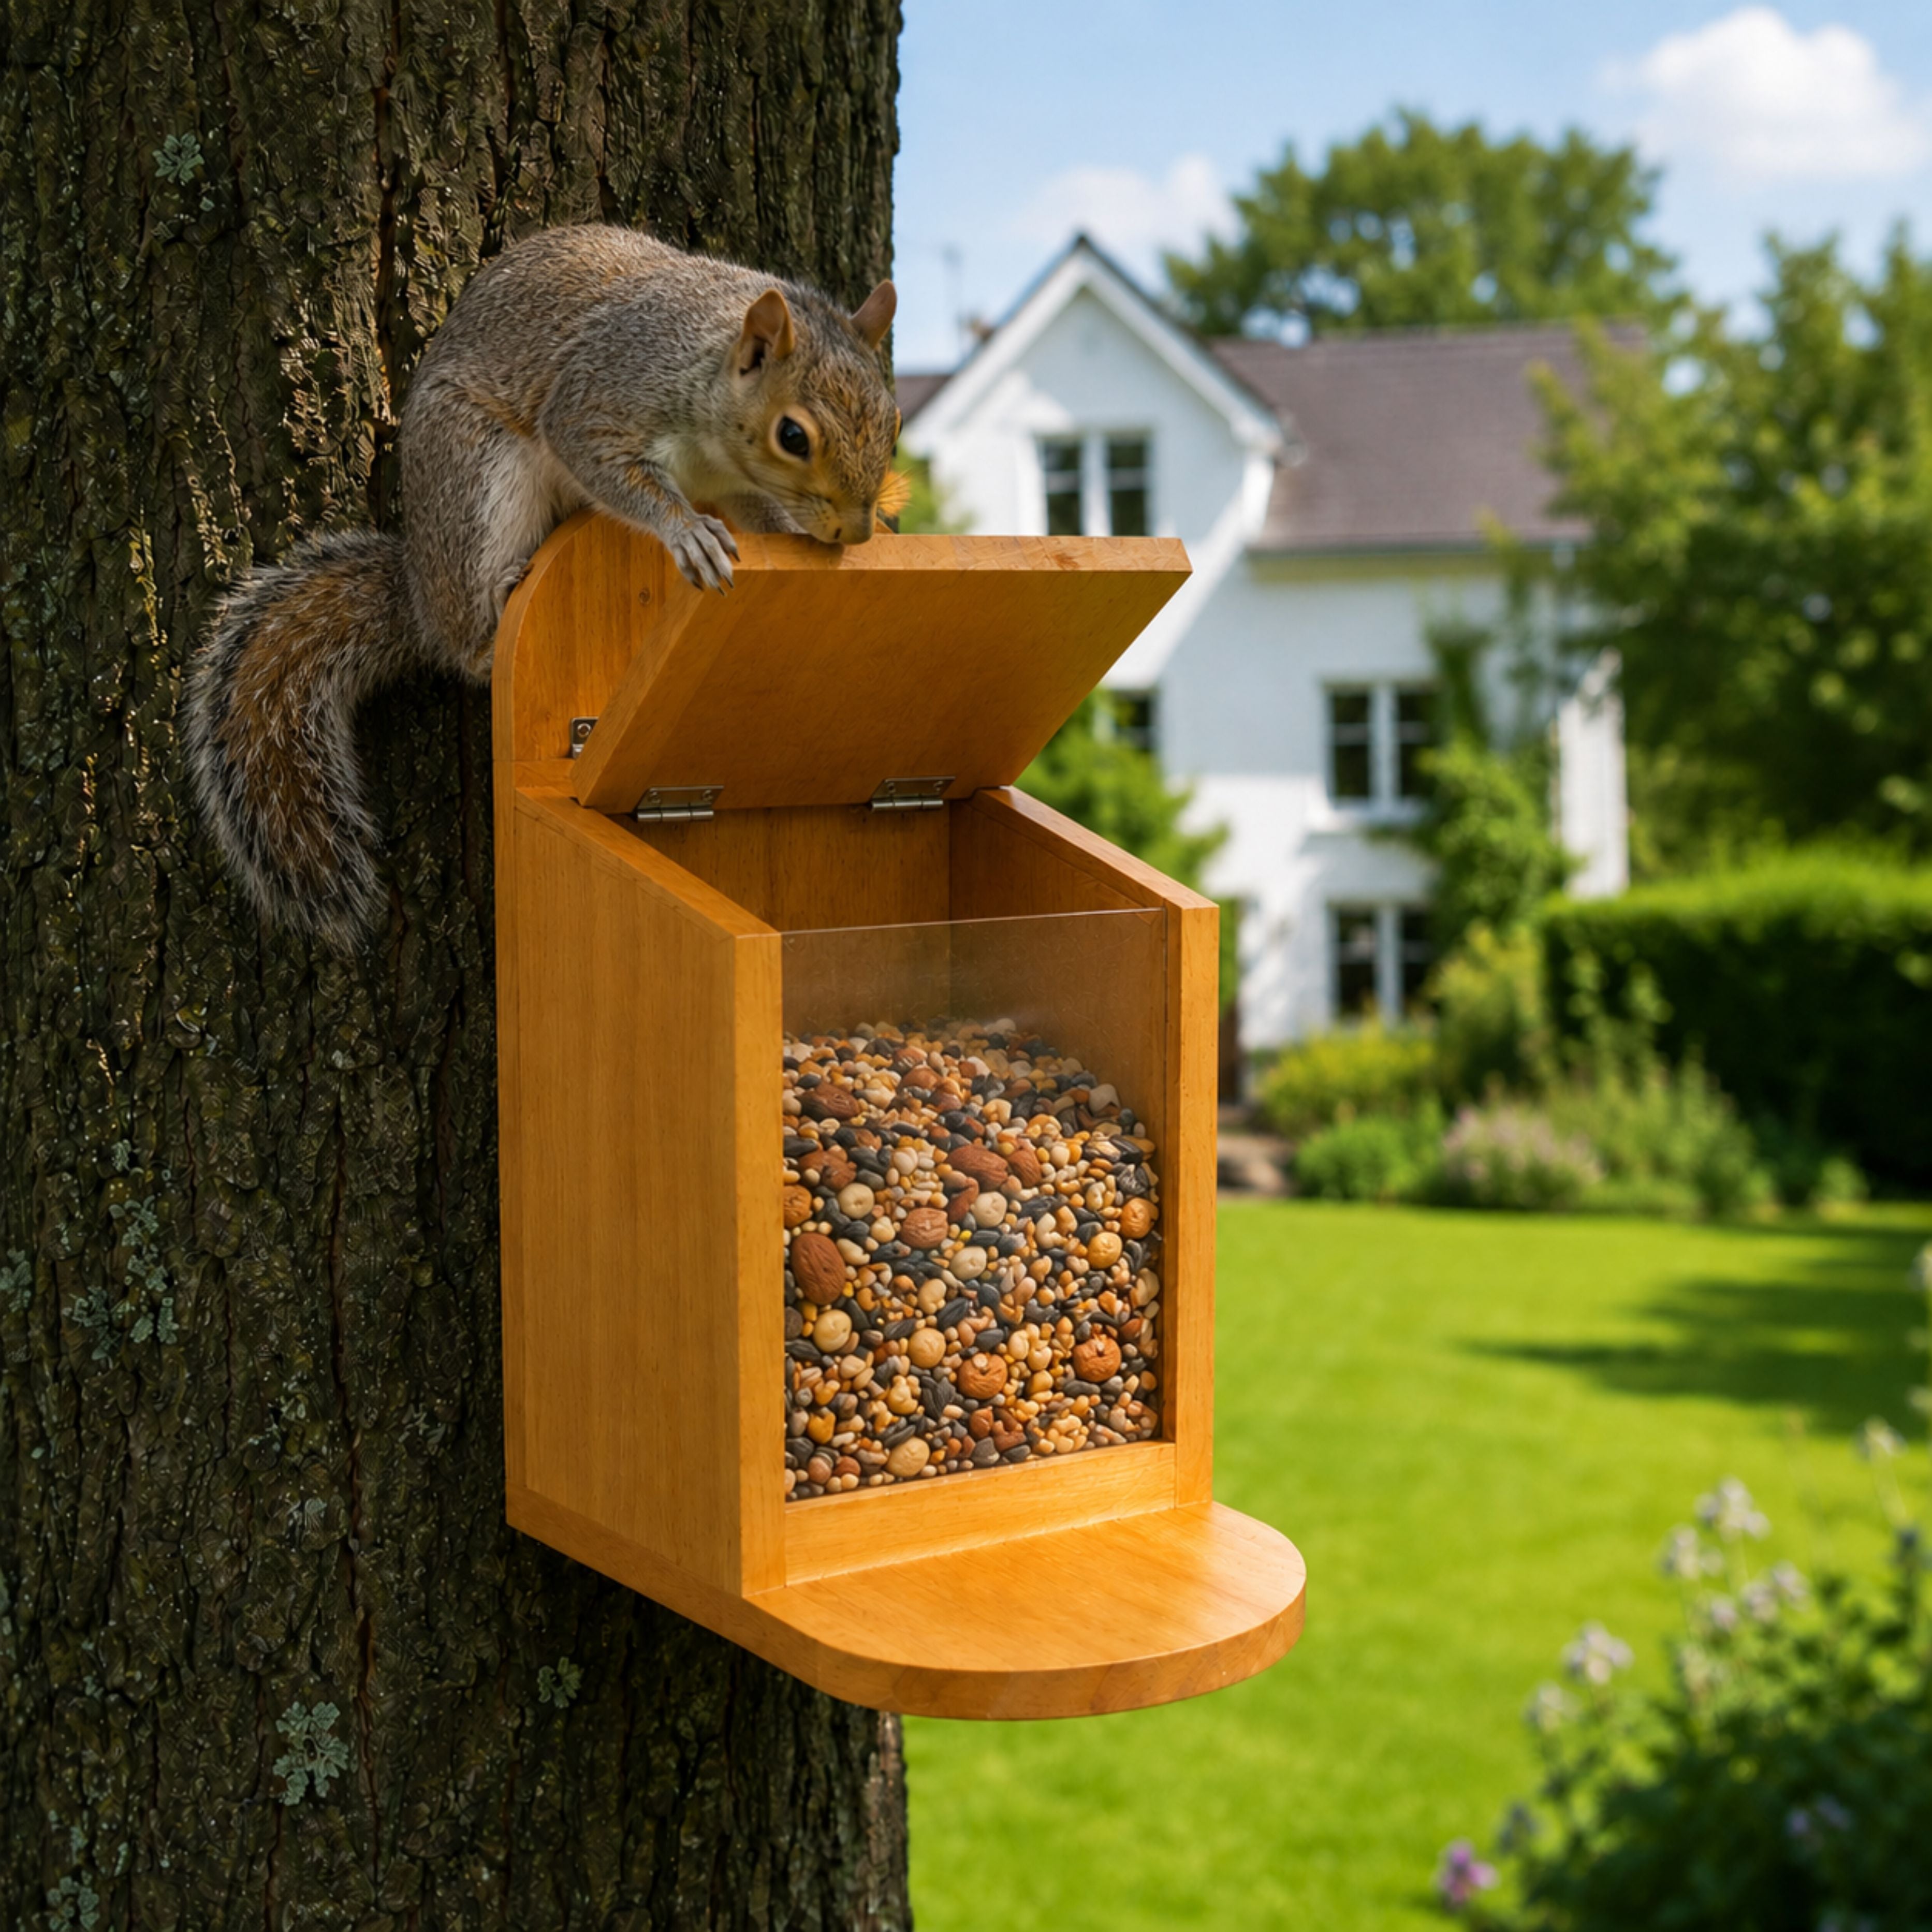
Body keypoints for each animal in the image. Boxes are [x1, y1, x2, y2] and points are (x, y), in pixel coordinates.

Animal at [185, 225, 902, 949]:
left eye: (893, 422)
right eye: (793, 435)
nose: (855, 531)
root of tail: (418, 591)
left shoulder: (733, 485)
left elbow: (757, 514)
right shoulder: (603, 396)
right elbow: (607, 465)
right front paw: (684, 532)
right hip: (478, 477)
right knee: (465, 643)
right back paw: (494, 610)